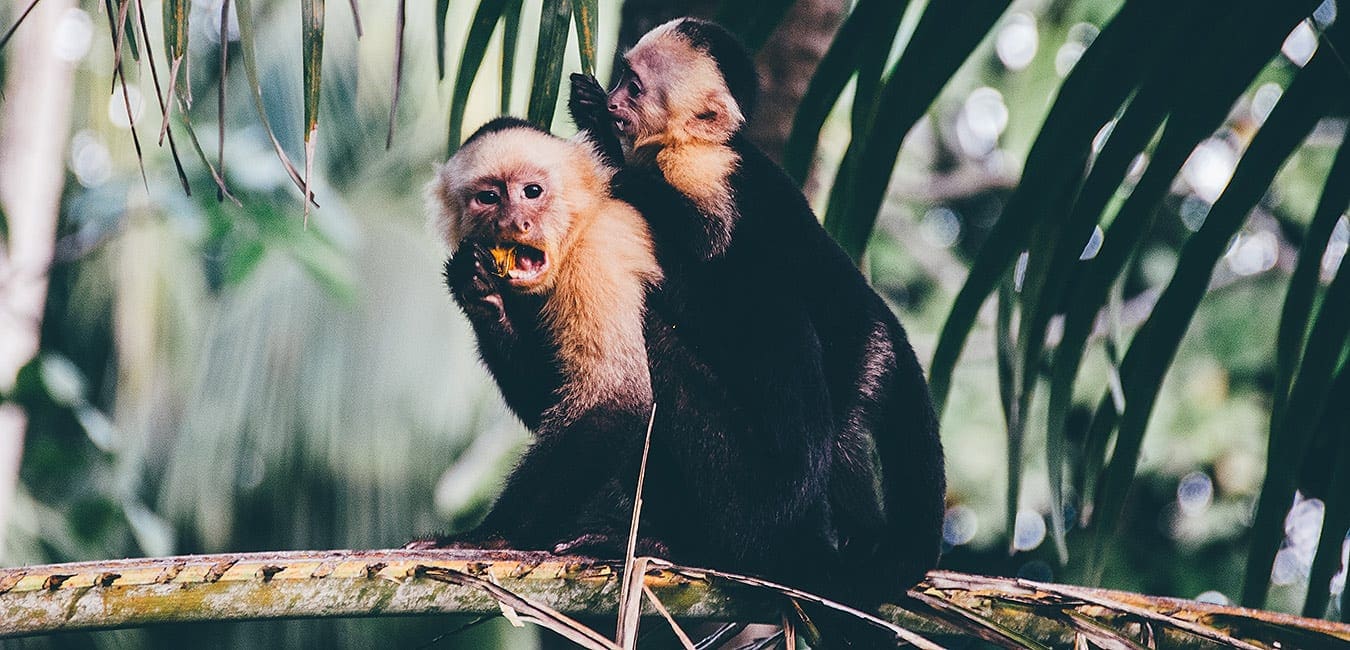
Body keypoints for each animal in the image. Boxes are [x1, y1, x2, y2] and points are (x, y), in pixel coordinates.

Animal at [569, 17, 950, 605]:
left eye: (633, 87)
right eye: (621, 78)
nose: (612, 102)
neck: (692, 141)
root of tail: (885, 319)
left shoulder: (704, 170)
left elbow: (702, 243)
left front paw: (608, 152)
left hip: (862, 351)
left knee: (838, 432)